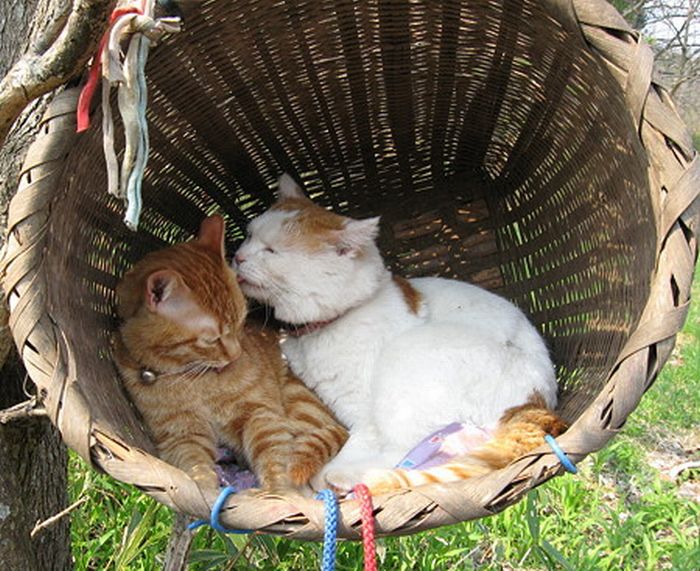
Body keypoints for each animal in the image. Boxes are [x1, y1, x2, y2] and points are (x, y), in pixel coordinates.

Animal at [113, 217, 350, 494]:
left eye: (241, 323)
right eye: (212, 339)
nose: (236, 354)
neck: (194, 378)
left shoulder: (261, 414)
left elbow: (276, 459)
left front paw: (278, 495)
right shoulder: (181, 435)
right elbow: (195, 467)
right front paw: (206, 492)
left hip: (300, 399)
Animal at [234, 174, 564, 492]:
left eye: (271, 251)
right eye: (249, 235)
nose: (237, 257)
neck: (320, 329)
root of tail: (536, 400)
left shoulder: (365, 418)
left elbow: (362, 442)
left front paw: (323, 475)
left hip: (407, 359)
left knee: (404, 449)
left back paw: (344, 477)